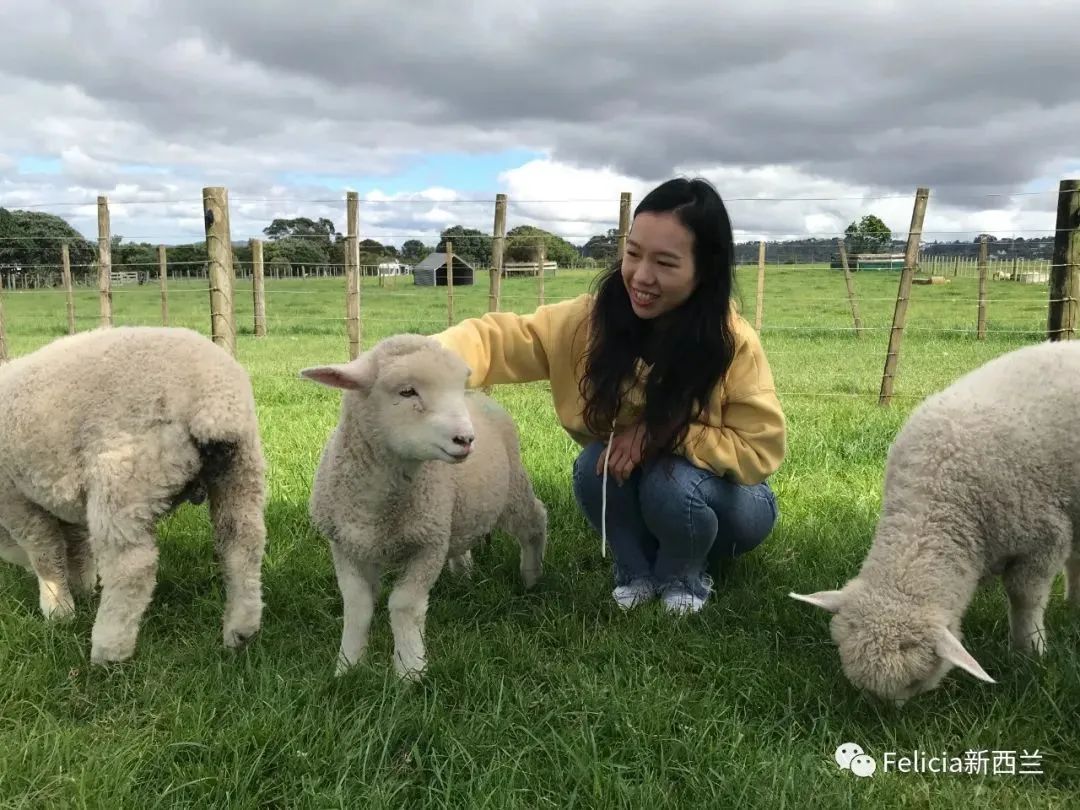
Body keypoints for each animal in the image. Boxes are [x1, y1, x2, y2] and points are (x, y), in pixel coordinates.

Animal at [0, 328, 267, 665]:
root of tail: (212, 399)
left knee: (131, 568)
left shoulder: (14, 498)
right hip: (241, 469)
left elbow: (45, 552)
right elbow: (77, 545)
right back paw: (240, 631)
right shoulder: (65, 499)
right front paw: (82, 587)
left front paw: (57, 609)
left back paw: (108, 650)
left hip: (124, 478)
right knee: (242, 543)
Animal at [300, 332, 548, 682]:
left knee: (534, 521)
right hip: (457, 512)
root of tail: (481, 398)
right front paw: (347, 666)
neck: (376, 506)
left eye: (456, 387)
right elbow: (357, 605)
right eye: (407, 391)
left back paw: (531, 576)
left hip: (511, 490)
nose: (465, 439)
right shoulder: (346, 544)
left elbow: (404, 606)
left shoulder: (428, 545)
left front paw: (410, 671)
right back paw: (464, 573)